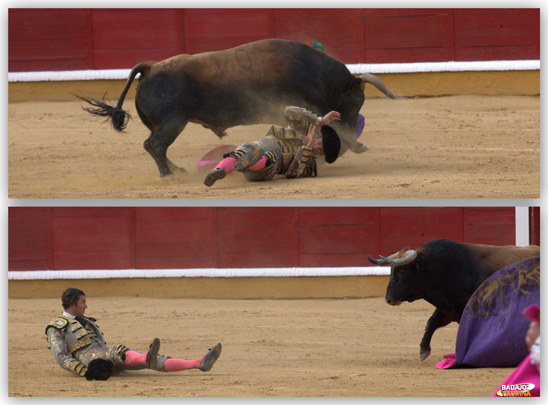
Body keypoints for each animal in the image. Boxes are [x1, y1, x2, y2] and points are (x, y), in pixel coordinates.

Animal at [77, 39, 394, 178]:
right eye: (356, 101)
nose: (354, 128)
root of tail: (151, 66)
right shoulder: (311, 104)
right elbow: (331, 123)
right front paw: (358, 145)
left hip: (165, 124)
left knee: (154, 146)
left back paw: (177, 170)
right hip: (172, 122)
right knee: (155, 145)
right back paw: (169, 175)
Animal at [366, 238, 540, 358]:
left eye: (402, 272)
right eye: (391, 272)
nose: (388, 299)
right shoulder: (448, 307)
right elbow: (432, 322)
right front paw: (424, 350)